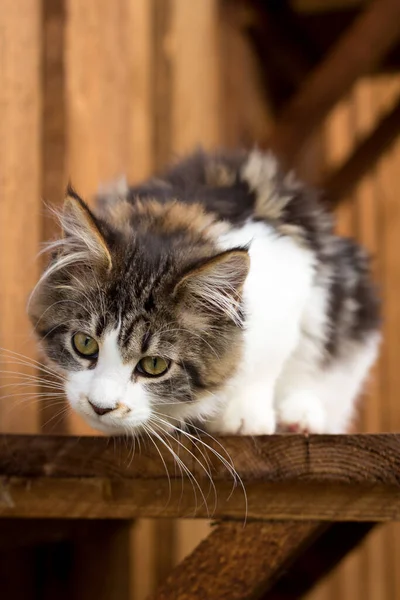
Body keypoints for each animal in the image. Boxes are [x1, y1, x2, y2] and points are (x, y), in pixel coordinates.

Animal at [28, 150, 382, 436]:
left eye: (154, 365)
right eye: (84, 344)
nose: (101, 407)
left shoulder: (292, 280)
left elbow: (266, 365)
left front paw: (246, 417)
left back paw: (300, 416)